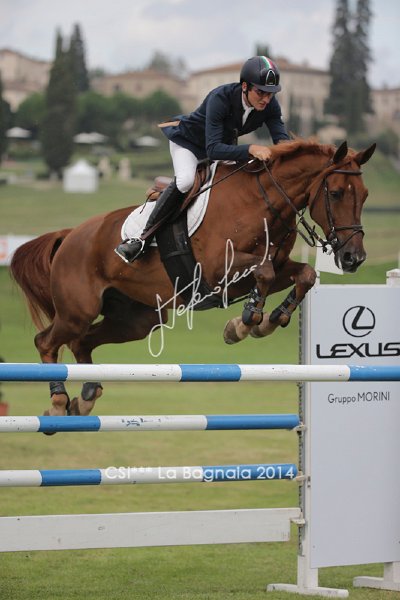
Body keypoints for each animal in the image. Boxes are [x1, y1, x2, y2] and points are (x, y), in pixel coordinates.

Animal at [10, 139, 376, 418]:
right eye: (337, 193)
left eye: (365, 194)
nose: (353, 258)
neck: (260, 202)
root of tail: (70, 235)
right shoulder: (216, 269)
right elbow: (265, 272)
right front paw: (245, 322)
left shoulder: (270, 267)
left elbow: (305, 274)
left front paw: (269, 320)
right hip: (78, 311)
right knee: (46, 342)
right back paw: (59, 402)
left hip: (138, 320)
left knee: (81, 342)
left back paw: (85, 397)